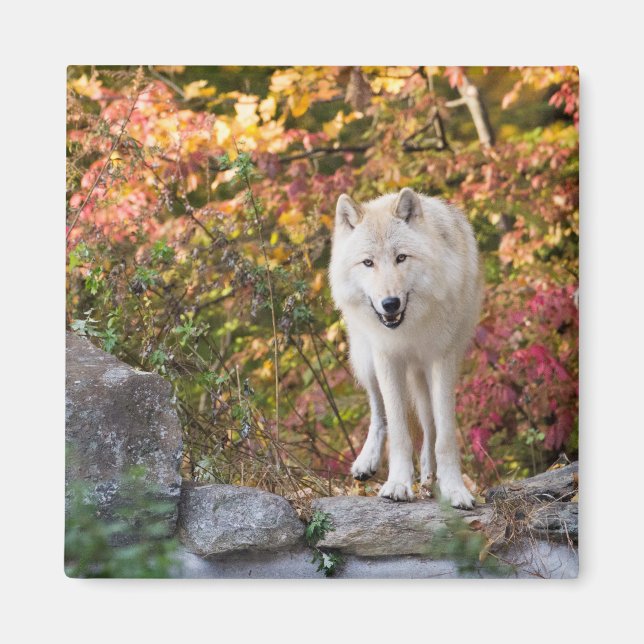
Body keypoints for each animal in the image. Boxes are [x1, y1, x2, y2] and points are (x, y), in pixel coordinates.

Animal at [329, 188, 483, 508]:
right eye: (368, 263)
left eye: (401, 258)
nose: (390, 303)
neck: (410, 327)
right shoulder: (387, 358)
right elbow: (399, 429)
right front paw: (398, 484)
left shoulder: (442, 360)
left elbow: (445, 435)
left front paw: (454, 489)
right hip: (366, 360)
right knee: (379, 411)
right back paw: (367, 462)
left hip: (423, 376)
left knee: (430, 425)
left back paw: (429, 478)